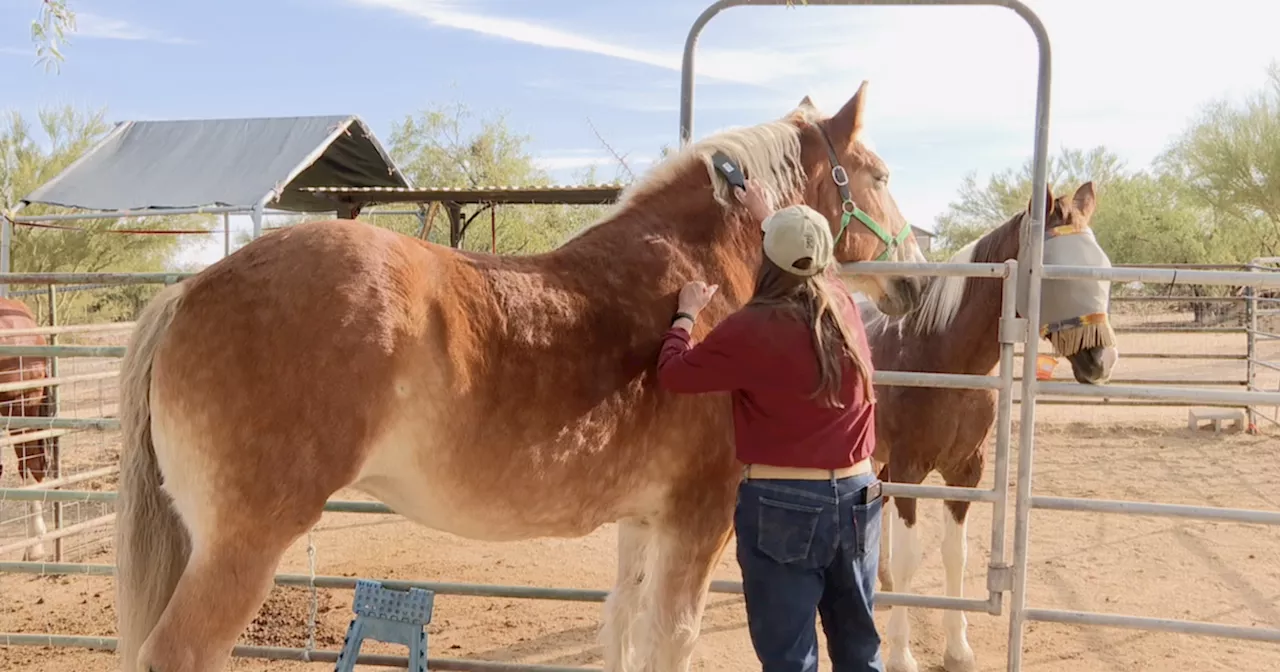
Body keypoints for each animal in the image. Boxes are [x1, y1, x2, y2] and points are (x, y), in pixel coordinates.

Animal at [115, 82, 926, 670]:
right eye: (881, 174)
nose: (916, 280)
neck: (701, 272)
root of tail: (191, 291)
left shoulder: (644, 521)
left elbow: (623, 628)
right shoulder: (695, 521)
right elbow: (668, 639)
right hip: (242, 546)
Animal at [860, 183, 1121, 670]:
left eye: (1105, 270)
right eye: (1054, 272)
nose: (1102, 360)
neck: (937, 354)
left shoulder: (966, 471)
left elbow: (955, 555)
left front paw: (958, 648)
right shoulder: (910, 469)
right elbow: (911, 557)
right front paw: (901, 653)